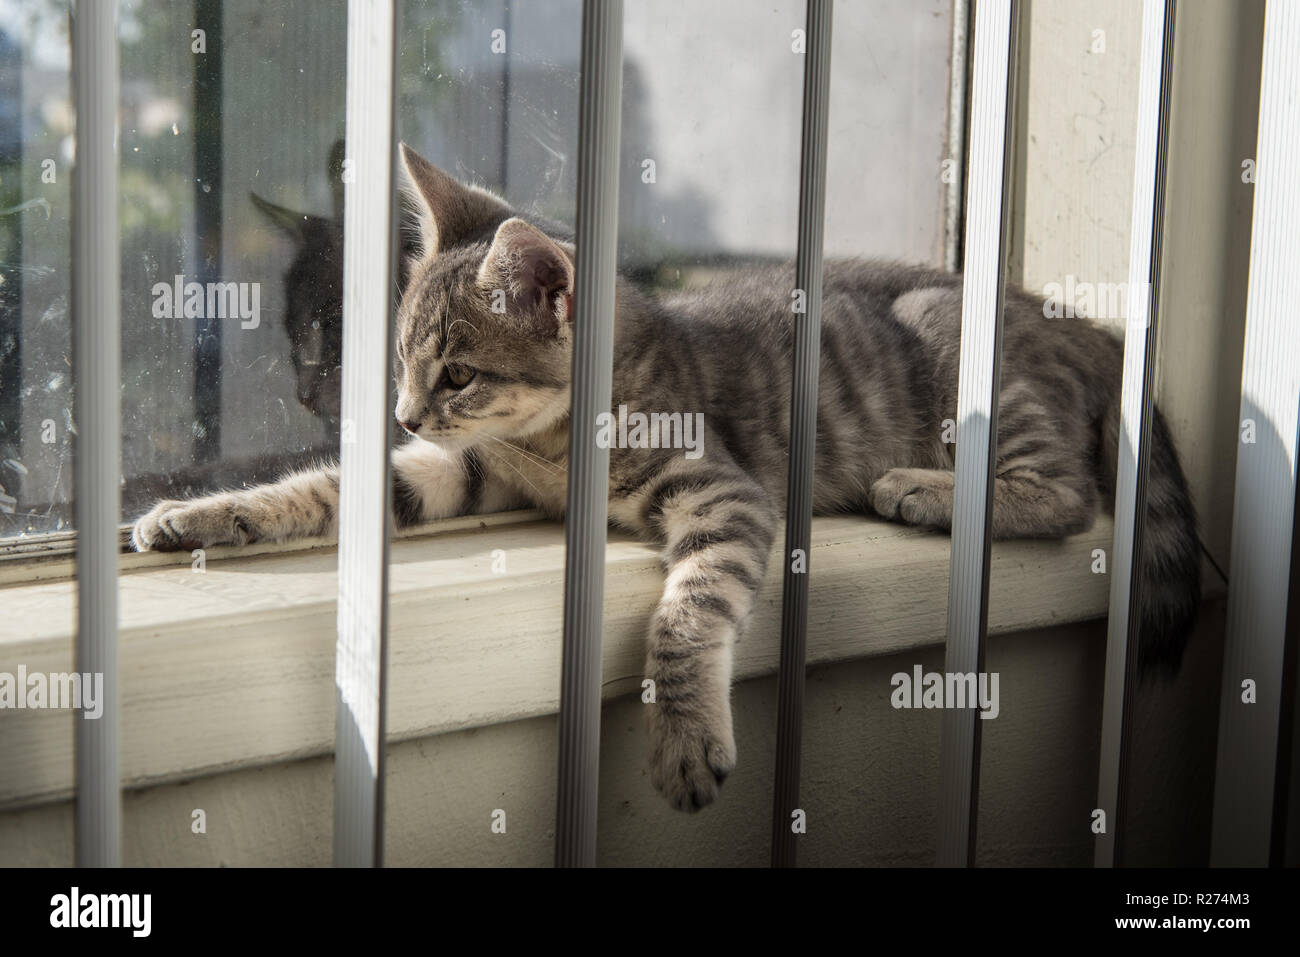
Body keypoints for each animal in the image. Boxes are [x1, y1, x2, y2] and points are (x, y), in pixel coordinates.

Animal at [131, 145, 1196, 811]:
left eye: (457, 373)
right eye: (395, 360)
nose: (398, 414)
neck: (551, 443)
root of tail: (1076, 318)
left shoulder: (723, 491)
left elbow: (687, 612)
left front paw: (682, 736)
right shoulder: (463, 470)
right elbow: (330, 489)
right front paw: (196, 515)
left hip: (952, 340)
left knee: (1066, 493)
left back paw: (920, 488)